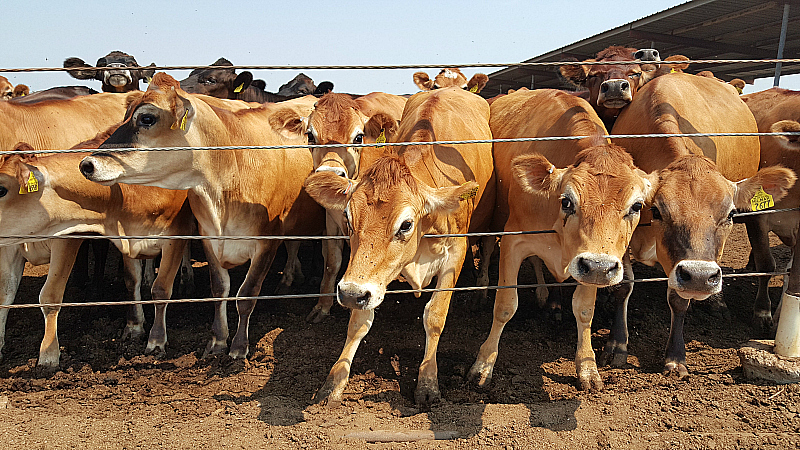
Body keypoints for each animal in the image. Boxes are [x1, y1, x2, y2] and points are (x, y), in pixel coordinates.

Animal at [76, 73, 324, 358]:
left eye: (147, 118)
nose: (87, 164)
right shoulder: (208, 236)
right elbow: (219, 288)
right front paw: (218, 341)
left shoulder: (266, 242)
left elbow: (247, 295)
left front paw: (238, 347)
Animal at [304, 86, 494, 410]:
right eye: (348, 218)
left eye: (405, 225)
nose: (350, 293)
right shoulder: (369, 277)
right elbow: (359, 320)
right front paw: (334, 382)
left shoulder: (455, 254)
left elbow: (435, 316)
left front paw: (428, 382)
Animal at [466, 88, 652, 390]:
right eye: (567, 201)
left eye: (636, 206)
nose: (600, 267)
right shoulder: (514, 240)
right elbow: (505, 305)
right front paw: (483, 365)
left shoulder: (588, 261)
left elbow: (585, 310)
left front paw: (587, 368)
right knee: (487, 247)